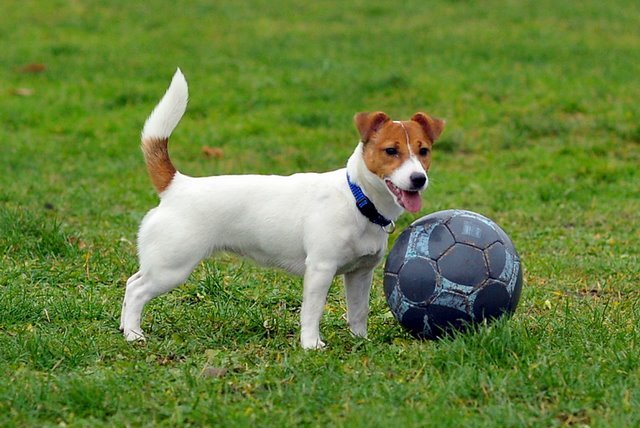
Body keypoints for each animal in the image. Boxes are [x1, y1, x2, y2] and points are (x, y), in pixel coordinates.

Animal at [117, 69, 442, 348]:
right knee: (137, 291)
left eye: (424, 151)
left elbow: (358, 311)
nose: (418, 179)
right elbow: (312, 312)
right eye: (391, 151)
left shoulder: (360, 273)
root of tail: (177, 185)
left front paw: (360, 340)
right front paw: (311, 345)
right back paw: (134, 334)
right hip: (172, 267)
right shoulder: (320, 269)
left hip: (162, 263)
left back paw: (124, 327)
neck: (357, 197)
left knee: (132, 282)